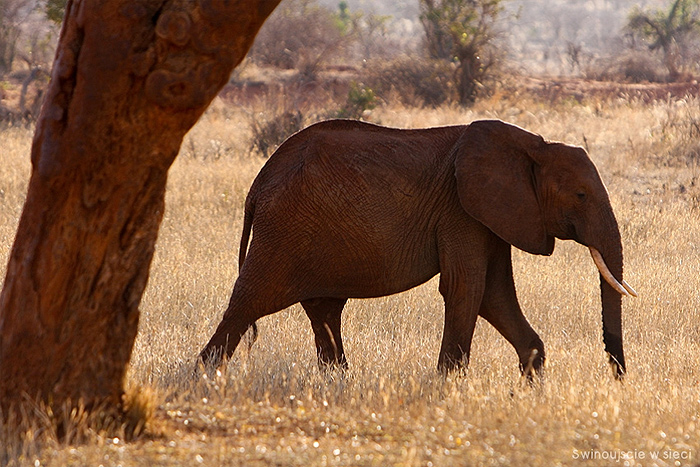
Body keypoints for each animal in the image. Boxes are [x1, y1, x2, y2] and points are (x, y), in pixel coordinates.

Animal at [200, 118, 636, 380]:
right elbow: (467, 289)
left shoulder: (490, 216)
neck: (532, 144)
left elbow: (494, 294)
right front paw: (448, 386)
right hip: (282, 232)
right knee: (249, 303)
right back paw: (204, 377)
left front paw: (531, 384)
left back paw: (338, 384)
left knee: (323, 310)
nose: (618, 378)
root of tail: (258, 184)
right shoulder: (460, 211)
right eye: (580, 195)